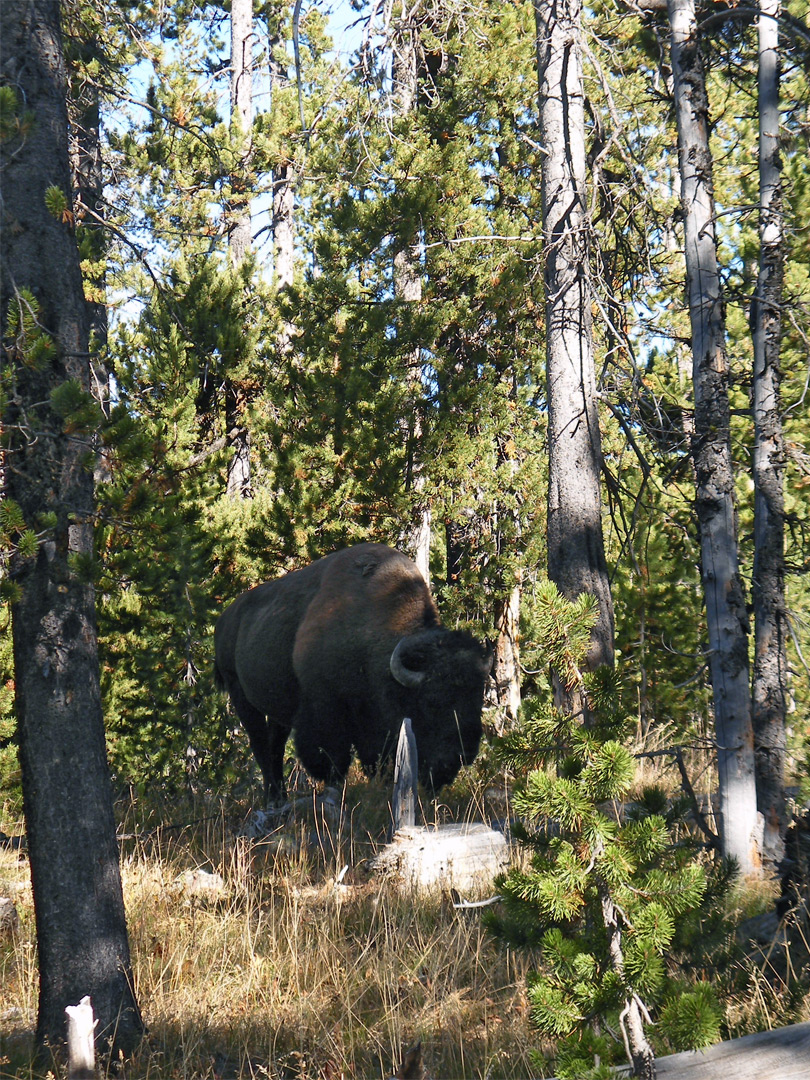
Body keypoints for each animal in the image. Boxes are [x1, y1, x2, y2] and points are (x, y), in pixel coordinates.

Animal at [213, 540, 494, 803]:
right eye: (432, 702)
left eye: (477, 697)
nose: (464, 752)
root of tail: (225, 619)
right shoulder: (324, 711)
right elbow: (331, 759)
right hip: (241, 696)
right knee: (260, 745)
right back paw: (273, 798)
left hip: (277, 711)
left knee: (275, 747)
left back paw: (279, 796)